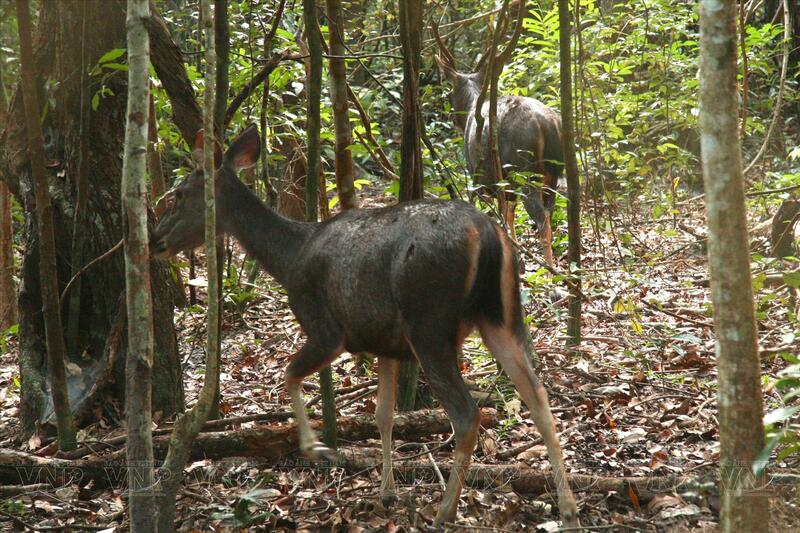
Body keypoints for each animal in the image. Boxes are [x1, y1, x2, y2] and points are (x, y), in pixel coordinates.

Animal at [150, 125, 580, 528]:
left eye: (179, 194)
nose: (155, 241)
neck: (289, 258)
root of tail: (488, 237)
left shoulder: (328, 330)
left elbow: (289, 374)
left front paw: (316, 449)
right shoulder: (385, 343)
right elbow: (383, 415)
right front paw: (386, 492)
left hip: (430, 323)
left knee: (467, 415)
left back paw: (445, 511)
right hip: (502, 316)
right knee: (539, 398)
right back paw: (568, 508)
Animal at [438, 19, 564, 268]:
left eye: (449, 92)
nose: (452, 118)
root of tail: (549, 126)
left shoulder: (479, 177)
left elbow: (496, 214)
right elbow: (509, 215)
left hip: (524, 170)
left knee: (542, 220)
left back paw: (549, 269)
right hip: (552, 175)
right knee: (551, 214)